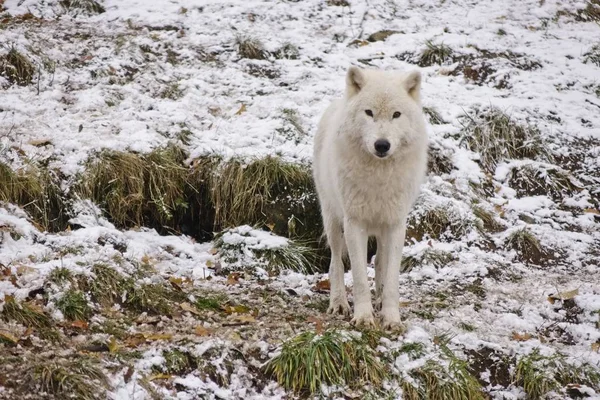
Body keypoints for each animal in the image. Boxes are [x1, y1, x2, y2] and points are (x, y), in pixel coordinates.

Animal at [312, 65, 428, 328]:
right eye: (369, 113)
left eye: (396, 115)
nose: (382, 145)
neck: (379, 177)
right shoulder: (354, 223)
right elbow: (358, 276)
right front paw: (363, 317)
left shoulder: (396, 224)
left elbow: (392, 278)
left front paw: (391, 318)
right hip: (332, 219)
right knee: (335, 262)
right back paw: (339, 303)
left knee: (379, 262)